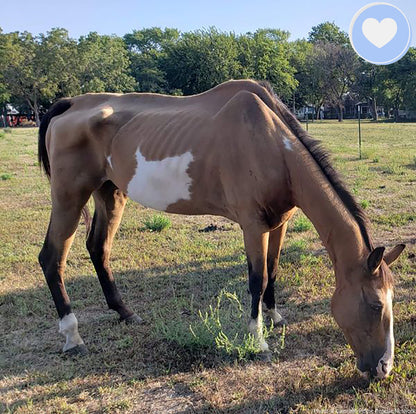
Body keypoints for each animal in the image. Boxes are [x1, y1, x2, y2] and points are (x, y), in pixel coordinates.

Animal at [38, 78, 404, 378]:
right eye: (375, 305)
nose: (384, 368)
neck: (271, 142)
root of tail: (72, 103)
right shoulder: (253, 225)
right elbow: (257, 279)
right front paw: (258, 340)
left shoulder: (279, 223)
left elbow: (273, 269)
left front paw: (274, 317)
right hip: (69, 197)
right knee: (52, 258)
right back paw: (72, 336)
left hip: (109, 193)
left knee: (98, 248)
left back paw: (125, 313)